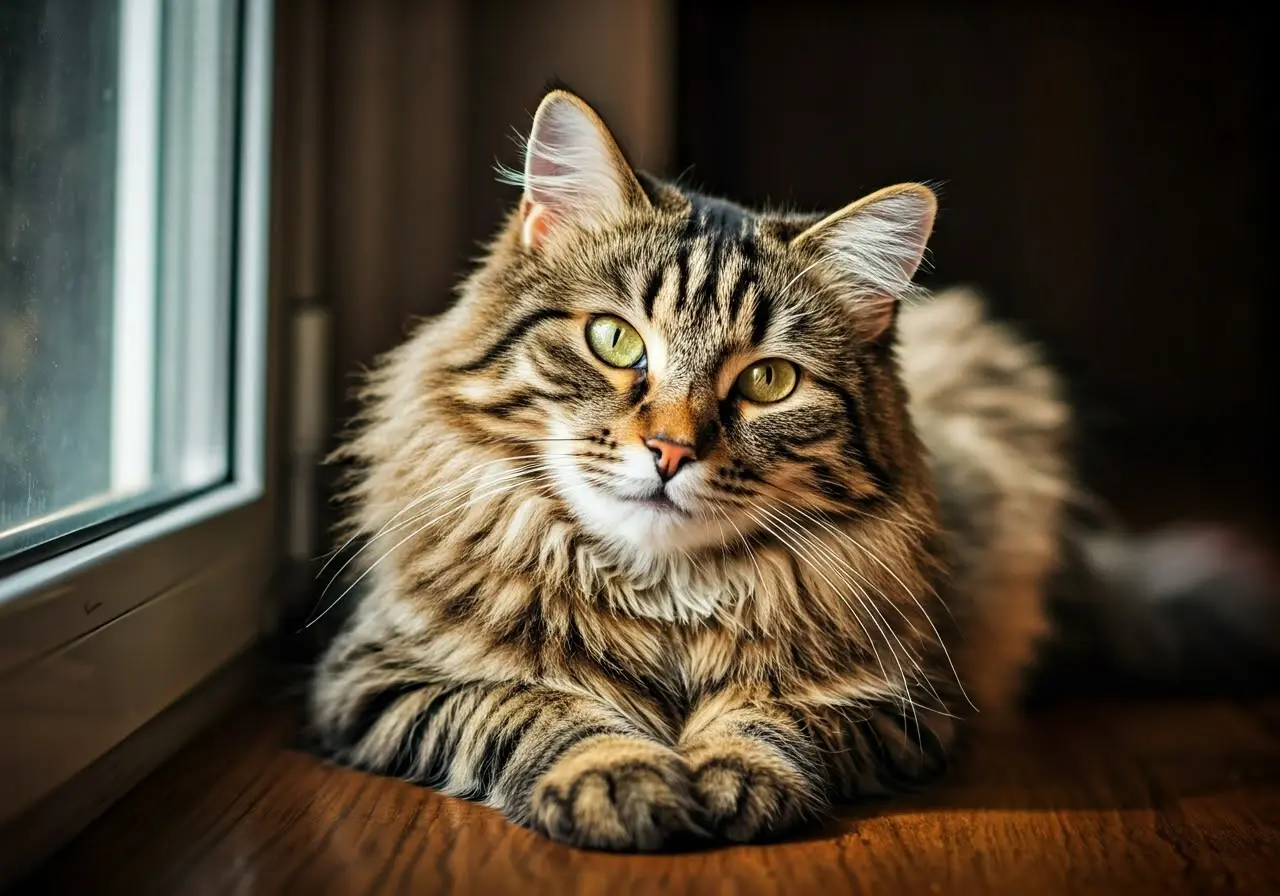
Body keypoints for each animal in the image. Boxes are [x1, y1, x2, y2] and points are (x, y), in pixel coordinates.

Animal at [307, 87, 1269, 849]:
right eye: (614, 340)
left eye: (768, 381)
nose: (670, 451)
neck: (660, 593)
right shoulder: (380, 675)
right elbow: (534, 705)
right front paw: (619, 775)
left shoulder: (903, 700)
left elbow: (776, 714)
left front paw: (730, 773)